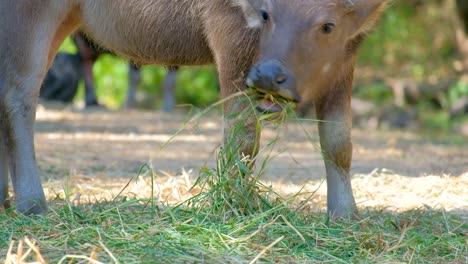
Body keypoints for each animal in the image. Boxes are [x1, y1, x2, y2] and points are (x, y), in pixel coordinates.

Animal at [0, 1, 388, 218]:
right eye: (266, 15)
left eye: (327, 25)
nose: (267, 76)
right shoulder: (232, 35)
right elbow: (242, 137)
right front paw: (236, 206)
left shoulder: (347, 53)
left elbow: (338, 142)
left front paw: (345, 214)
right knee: (18, 95)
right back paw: (33, 204)